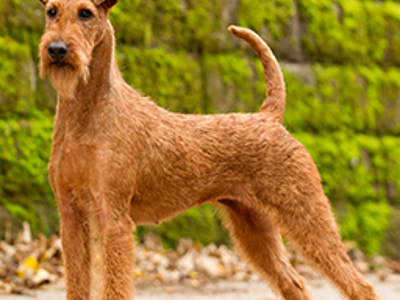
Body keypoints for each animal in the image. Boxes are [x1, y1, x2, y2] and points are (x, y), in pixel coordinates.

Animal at [38, 0, 382, 300]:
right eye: (51, 11)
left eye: (86, 12)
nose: (57, 50)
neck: (87, 115)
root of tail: (269, 116)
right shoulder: (71, 216)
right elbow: (77, 285)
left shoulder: (114, 217)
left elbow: (114, 287)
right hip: (252, 224)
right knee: (294, 283)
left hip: (304, 211)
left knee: (359, 285)